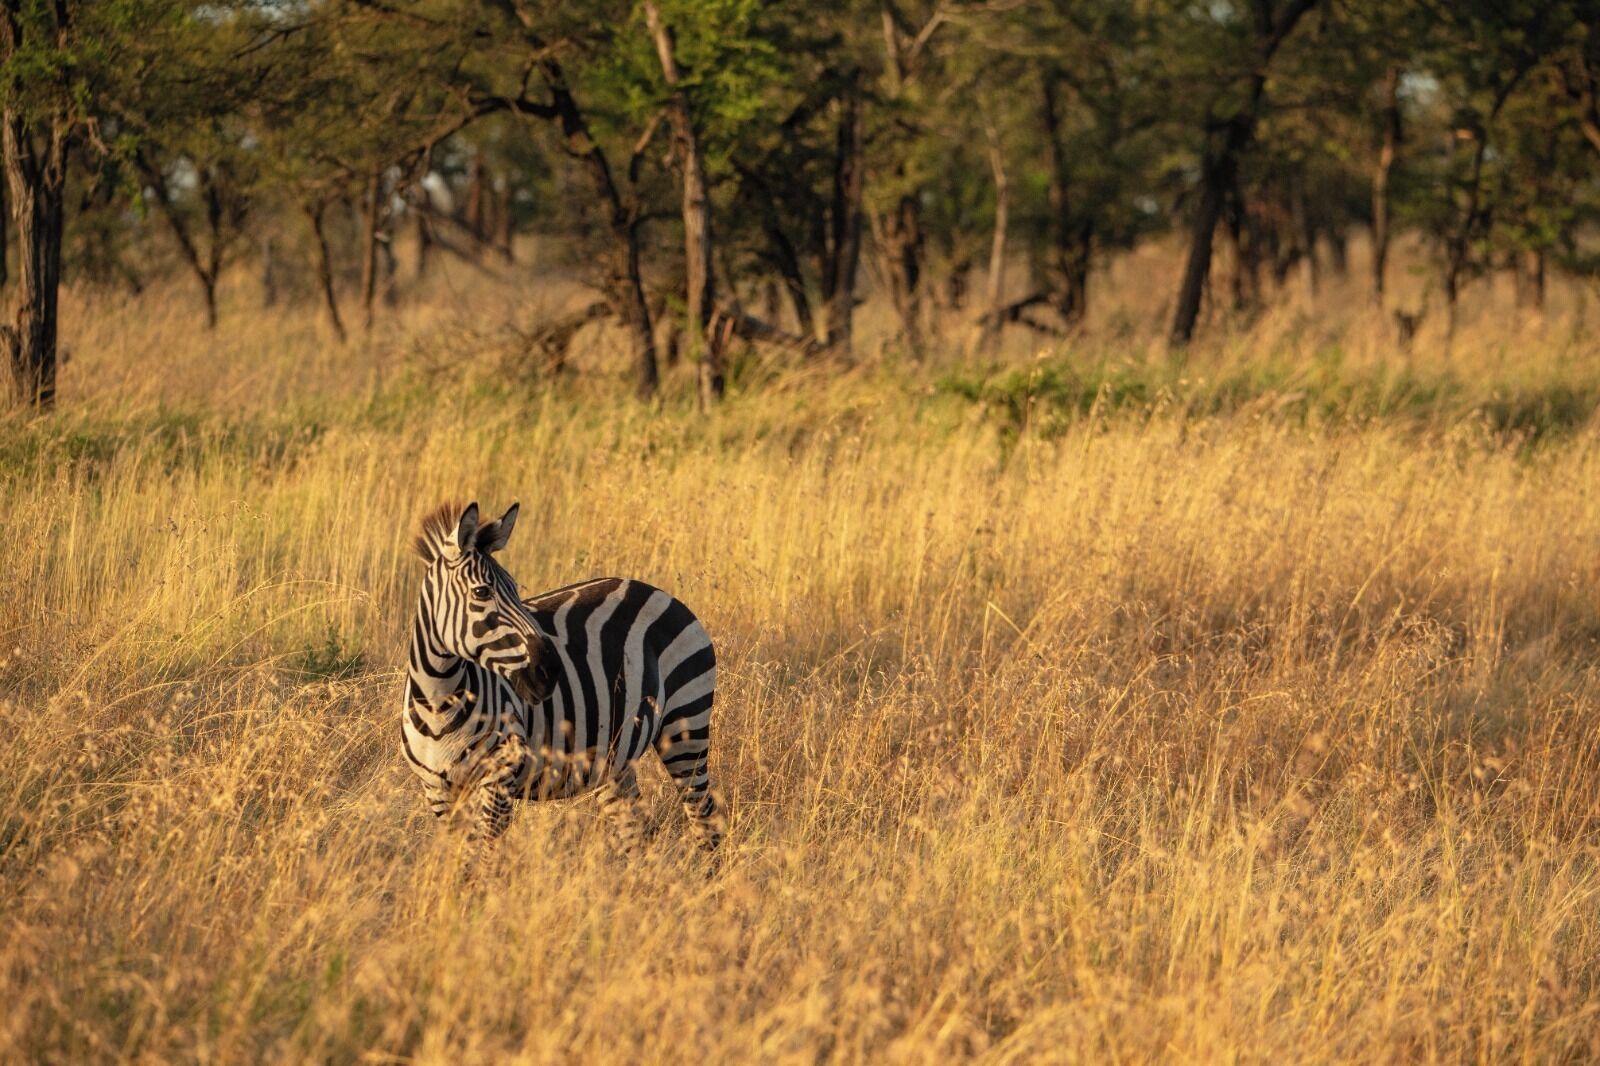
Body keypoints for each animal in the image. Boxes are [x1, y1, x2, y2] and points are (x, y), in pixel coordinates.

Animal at [401, 500, 724, 863]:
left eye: (515, 588)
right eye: (482, 592)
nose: (550, 669)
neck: (439, 699)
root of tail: (663, 593)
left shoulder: (499, 778)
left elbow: (485, 861)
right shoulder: (438, 793)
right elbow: (462, 861)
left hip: (686, 728)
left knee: (704, 819)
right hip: (614, 761)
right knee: (636, 834)